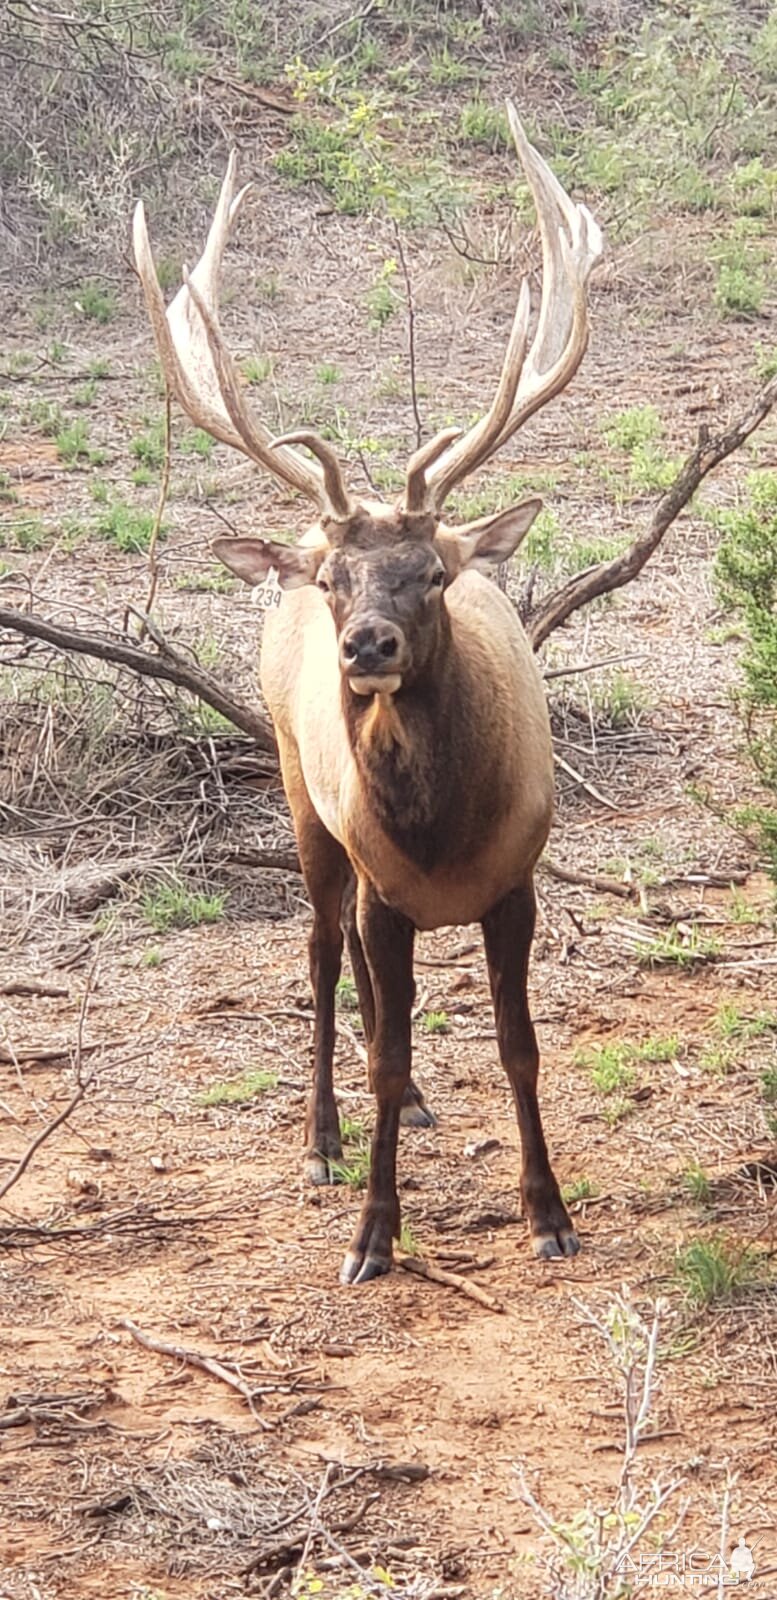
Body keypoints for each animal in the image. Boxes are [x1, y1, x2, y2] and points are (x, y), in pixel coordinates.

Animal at [136, 106, 604, 1286]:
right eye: (339, 578)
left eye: (431, 572)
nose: (364, 646)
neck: (442, 842)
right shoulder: (387, 886)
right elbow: (385, 1046)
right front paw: (374, 1232)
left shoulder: (517, 879)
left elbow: (519, 1048)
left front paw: (547, 1213)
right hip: (298, 791)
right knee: (317, 949)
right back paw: (322, 1138)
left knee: (351, 956)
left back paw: (416, 1107)